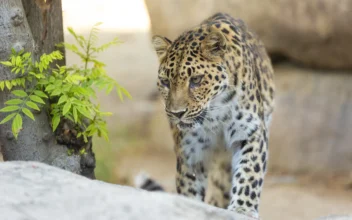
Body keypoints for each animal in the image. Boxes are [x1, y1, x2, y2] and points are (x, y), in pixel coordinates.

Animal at [140, 12, 276, 219]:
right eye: (165, 82)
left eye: (196, 80)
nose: (177, 113)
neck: (215, 114)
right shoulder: (191, 149)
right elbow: (189, 184)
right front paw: (188, 207)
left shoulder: (251, 132)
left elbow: (249, 172)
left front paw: (243, 208)